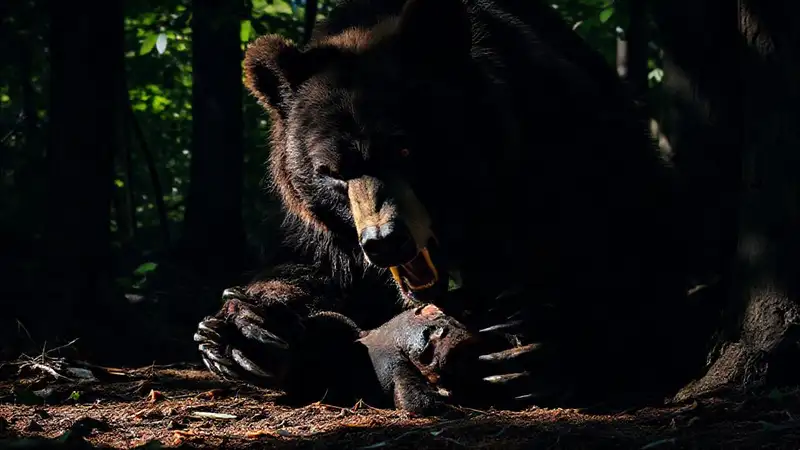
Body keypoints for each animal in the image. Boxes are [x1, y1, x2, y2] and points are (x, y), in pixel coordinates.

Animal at [194, 0, 695, 411]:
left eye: (404, 147)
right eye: (331, 171)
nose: (385, 241)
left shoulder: (565, 144)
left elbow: (631, 249)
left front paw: (534, 342)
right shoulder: (321, 230)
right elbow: (305, 267)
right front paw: (250, 333)